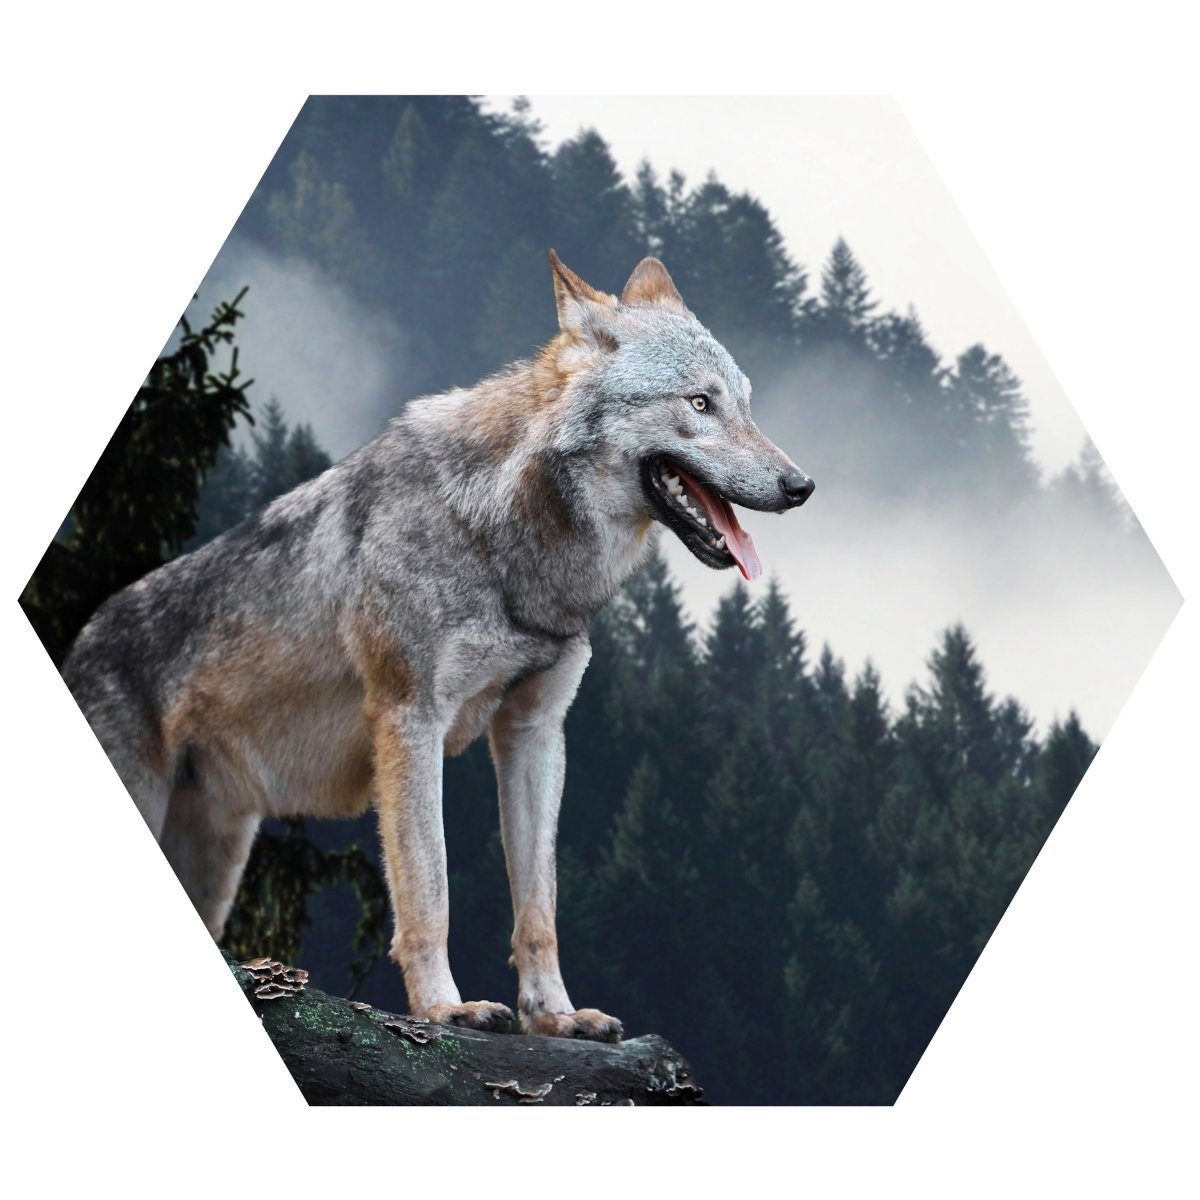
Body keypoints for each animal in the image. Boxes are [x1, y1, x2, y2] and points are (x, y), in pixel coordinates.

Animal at [64, 252, 814, 1041]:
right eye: (700, 403)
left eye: (746, 405)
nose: (802, 486)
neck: (504, 539)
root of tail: (83, 636)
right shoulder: (409, 720)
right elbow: (430, 888)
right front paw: (445, 1008)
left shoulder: (535, 732)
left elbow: (539, 907)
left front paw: (556, 1016)